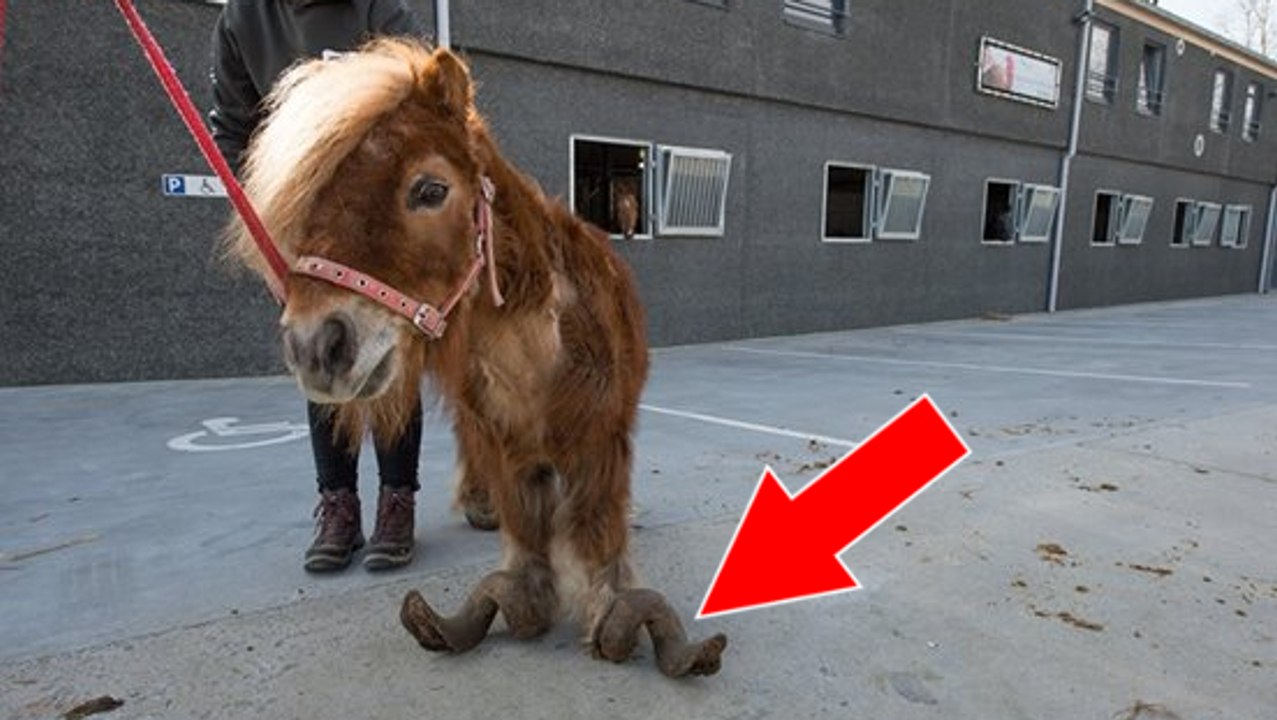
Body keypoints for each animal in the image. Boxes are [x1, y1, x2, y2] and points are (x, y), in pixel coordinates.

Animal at [224, 39, 726, 678]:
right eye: (313, 196)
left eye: (431, 190)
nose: (316, 346)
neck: (540, 358)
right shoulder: (506, 446)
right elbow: (524, 551)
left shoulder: (600, 444)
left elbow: (598, 536)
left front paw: (612, 613)